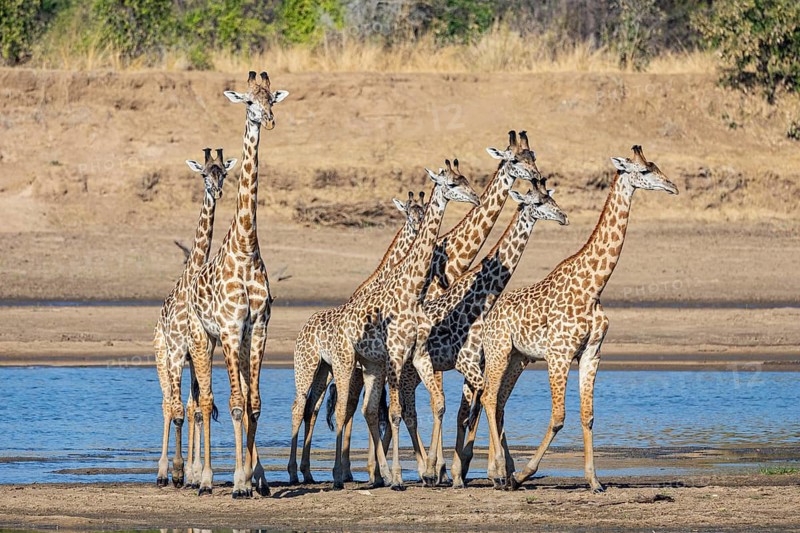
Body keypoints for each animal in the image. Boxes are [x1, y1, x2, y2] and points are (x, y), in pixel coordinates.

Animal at [288, 191, 426, 485]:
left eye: (424, 210)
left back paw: (308, 472)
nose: (420, 226)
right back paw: (298, 472)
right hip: (313, 367)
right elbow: (368, 411)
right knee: (304, 407)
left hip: (324, 371)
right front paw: (375, 472)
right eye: (409, 213)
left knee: (312, 409)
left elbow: (371, 410)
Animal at [329, 159, 480, 490]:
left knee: (368, 410)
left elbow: (438, 404)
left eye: (466, 179)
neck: (411, 291)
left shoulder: (419, 354)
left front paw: (430, 471)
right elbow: (398, 413)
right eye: (452, 184)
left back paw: (379, 474)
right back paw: (339, 477)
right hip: (346, 362)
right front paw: (401, 477)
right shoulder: (397, 355)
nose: (475, 198)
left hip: (371, 365)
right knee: (344, 409)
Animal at [399, 179, 568, 488]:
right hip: (409, 372)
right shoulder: (468, 362)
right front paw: (495, 469)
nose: (563, 217)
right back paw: (424, 470)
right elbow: (480, 405)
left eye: (550, 198)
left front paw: (485, 469)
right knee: (407, 411)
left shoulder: (478, 363)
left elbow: (475, 409)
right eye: (537, 202)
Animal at [479, 145, 678, 492]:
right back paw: (502, 473)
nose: (672, 186)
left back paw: (498, 471)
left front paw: (594, 480)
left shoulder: (591, 353)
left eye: (655, 166)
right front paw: (523, 473)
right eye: (644, 171)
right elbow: (558, 417)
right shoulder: (559, 354)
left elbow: (588, 416)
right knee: (489, 399)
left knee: (498, 401)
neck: (594, 286)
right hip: (498, 350)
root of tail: (489, 316)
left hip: (518, 357)